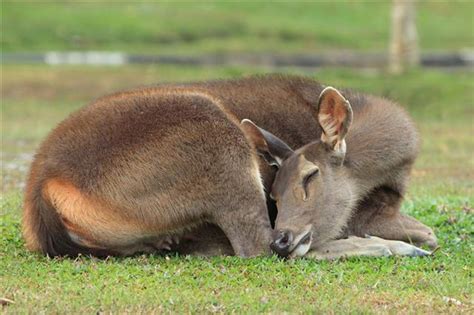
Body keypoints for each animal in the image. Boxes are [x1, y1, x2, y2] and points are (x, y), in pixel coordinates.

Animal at [23, 74, 436, 260]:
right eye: (274, 193)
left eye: (310, 175)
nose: (285, 235)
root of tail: (44, 186)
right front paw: (403, 244)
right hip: (218, 140)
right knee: (257, 246)